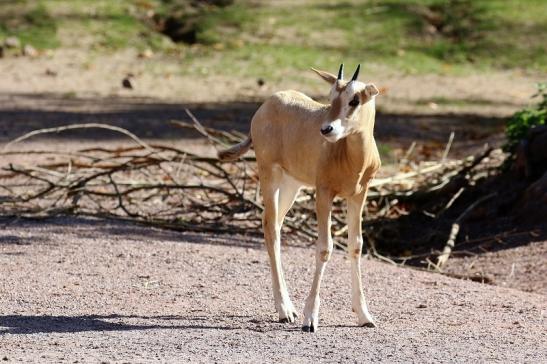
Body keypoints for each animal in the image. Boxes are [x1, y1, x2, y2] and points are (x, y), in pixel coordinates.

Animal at [218, 64, 382, 332]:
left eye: (354, 100)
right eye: (330, 97)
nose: (326, 129)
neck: (350, 155)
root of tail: (267, 105)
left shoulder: (358, 195)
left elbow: (356, 245)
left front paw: (364, 315)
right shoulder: (324, 192)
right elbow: (325, 248)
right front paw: (310, 319)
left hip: (291, 185)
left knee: (274, 224)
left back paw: (287, 308)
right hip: (269, 175)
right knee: (270, 228)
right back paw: (285, 310)